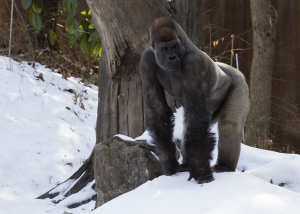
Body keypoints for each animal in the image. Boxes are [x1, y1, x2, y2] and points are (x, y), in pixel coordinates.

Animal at [139, 16, 250, 184]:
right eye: (165, 49)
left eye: (173, 46)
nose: (172, 57)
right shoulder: (147, 61)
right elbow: (157, 110)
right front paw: (170, 164)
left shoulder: (194, 64)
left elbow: (197, 117)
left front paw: (201, 173)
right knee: (188, 128)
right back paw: (186, 164)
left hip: (239, 83)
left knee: (229, 125)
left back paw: (225, 166)